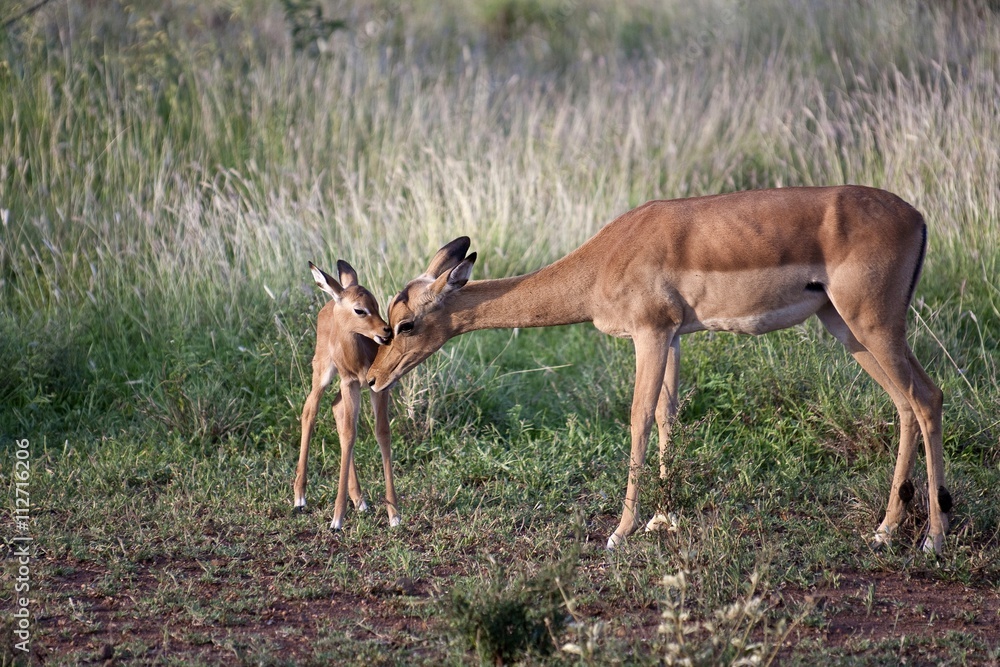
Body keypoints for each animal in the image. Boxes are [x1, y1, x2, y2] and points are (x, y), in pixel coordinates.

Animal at [294, 260, 401, 530]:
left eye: (376, 304)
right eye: (359, 310)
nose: (386, 331)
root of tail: (331, 299)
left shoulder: (377, 388)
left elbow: (381, 434)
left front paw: (394, 514)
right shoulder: (350, 383)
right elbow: (351, 434)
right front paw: (337, 519)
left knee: (336, 409)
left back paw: (360, 500)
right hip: (323, 373)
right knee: (310, 410)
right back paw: (299, 498)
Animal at [367, 186, 951, 555]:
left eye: (406, 323)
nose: (373, 377)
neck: (603, 260)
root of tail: (918, 217)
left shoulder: (648, 334)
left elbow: (638, 418)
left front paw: (620, 531)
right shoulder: (671, 336)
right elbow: (669, 416)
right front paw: (662, 519)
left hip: (872, 324)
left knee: (926, 397)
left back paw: (932, 538)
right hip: (845, 327)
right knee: (905, 403)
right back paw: (885, 530)